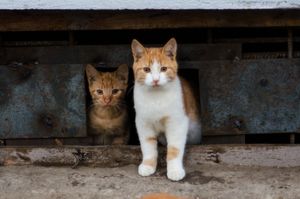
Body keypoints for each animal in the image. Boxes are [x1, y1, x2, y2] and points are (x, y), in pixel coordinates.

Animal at [131, 38, 202, 181]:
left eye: (163, 69)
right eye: (146, 69)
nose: (156, 80)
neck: (156, 96)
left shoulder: (177, 123)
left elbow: (174, 148)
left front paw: (175, 170)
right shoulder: (143, 123)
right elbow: (147, 147)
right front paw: (148, 165)